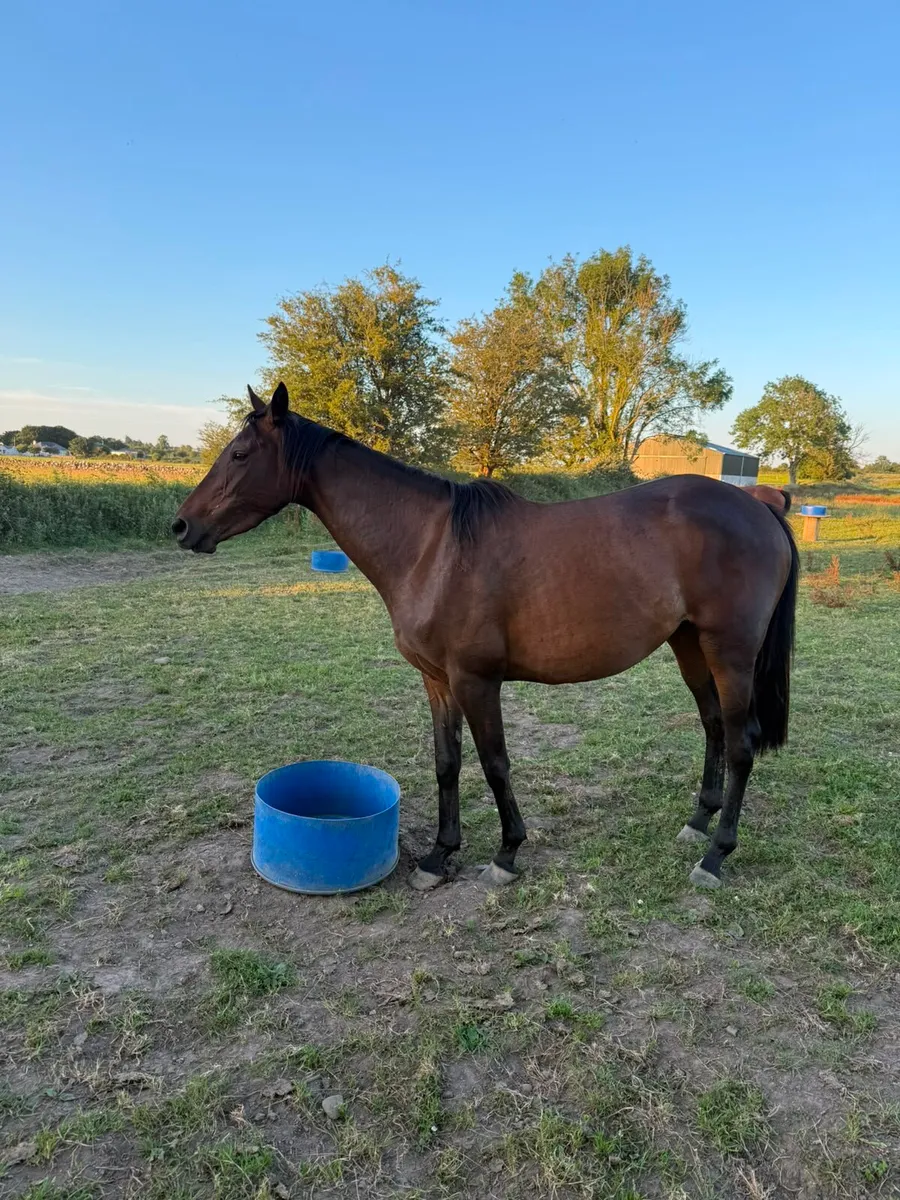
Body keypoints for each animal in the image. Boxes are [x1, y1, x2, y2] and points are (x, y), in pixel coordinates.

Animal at [173, 383, 799, 891]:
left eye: (240, 454)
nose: (181, 526)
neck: (432, 548)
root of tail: (758, 509)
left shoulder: (477, 681)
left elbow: (495, 762)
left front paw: (506, 854)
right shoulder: (438, 681)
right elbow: (447, 762)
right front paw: (437, 857)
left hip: (729, 652)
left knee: (741, 743)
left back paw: (716, 856)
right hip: (690, 644)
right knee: (713, 726)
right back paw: (696, 825)